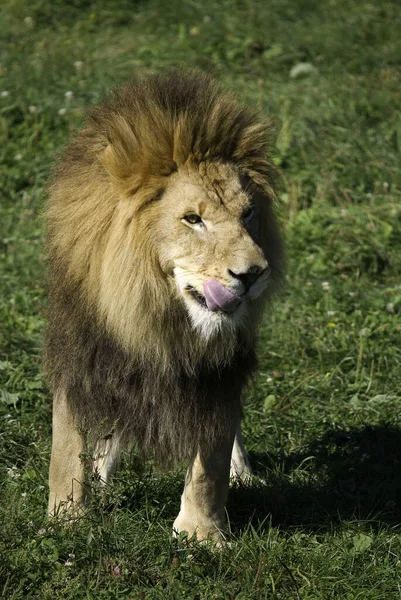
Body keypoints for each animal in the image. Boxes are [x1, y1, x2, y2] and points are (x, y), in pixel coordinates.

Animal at [43, 68, 282, 540]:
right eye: (193, 219)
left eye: (248, 214)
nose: (253, 274)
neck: (154, 311)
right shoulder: (82, 353)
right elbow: (67, 446)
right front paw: (65, 521)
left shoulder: (216, 375)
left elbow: (210, 461)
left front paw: (201, 535)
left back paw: (243, 474)